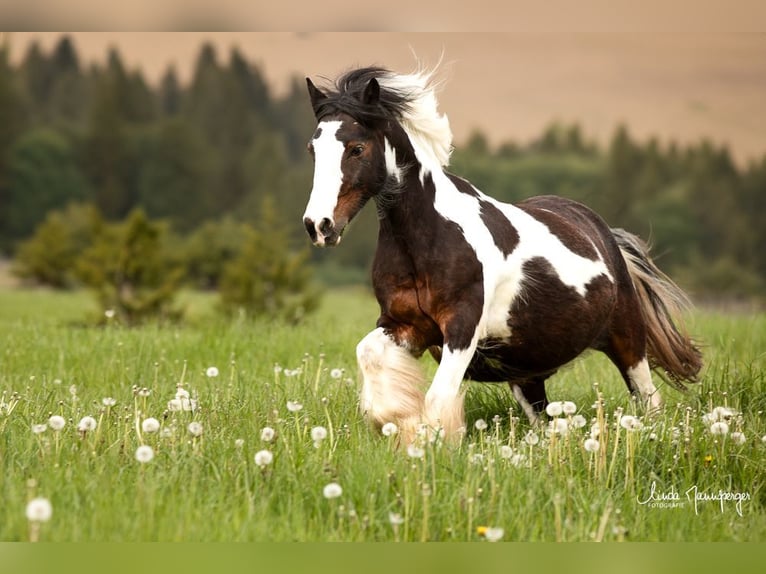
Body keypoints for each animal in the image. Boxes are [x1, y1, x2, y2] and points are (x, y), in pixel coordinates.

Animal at [302, 66, 704, 446]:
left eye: (356, 148)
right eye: (312, 149)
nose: (319, 225)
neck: (424, 239)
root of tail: (606, 235)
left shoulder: (462, 328)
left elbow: (437, 400)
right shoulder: (404, 325)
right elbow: (369, 355)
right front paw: (398, 421)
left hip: (628, 341)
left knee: (649, 401)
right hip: (527, 375)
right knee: (544, 419)